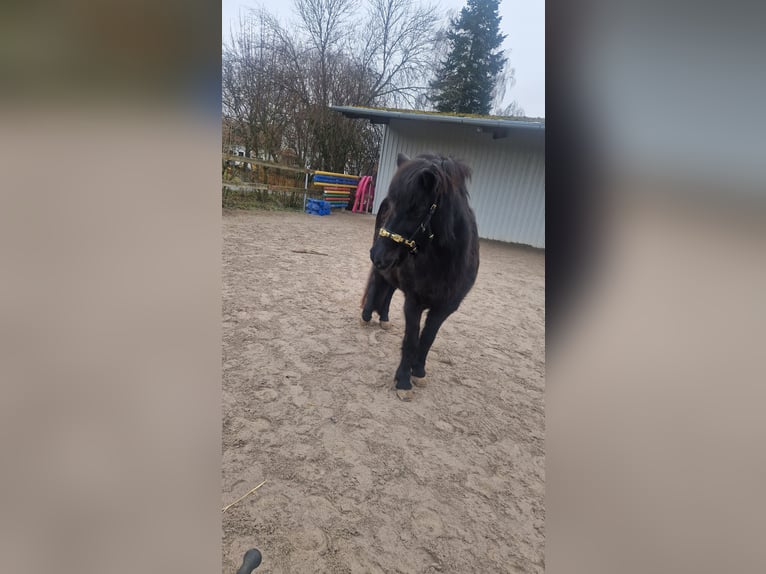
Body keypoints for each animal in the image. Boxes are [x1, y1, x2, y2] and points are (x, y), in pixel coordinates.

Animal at [360, 152, 480, 401]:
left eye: (417, 209)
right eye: (393, 205)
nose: (377, 254)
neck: (444, 263)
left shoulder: (445, 308)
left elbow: (427, 338)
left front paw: (419, 372)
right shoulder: (414, 303)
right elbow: (411, 339)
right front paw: (404, 381)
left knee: (389, 289)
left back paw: (384, 318)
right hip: (385, 268)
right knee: (377, 282)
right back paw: (366, 315)